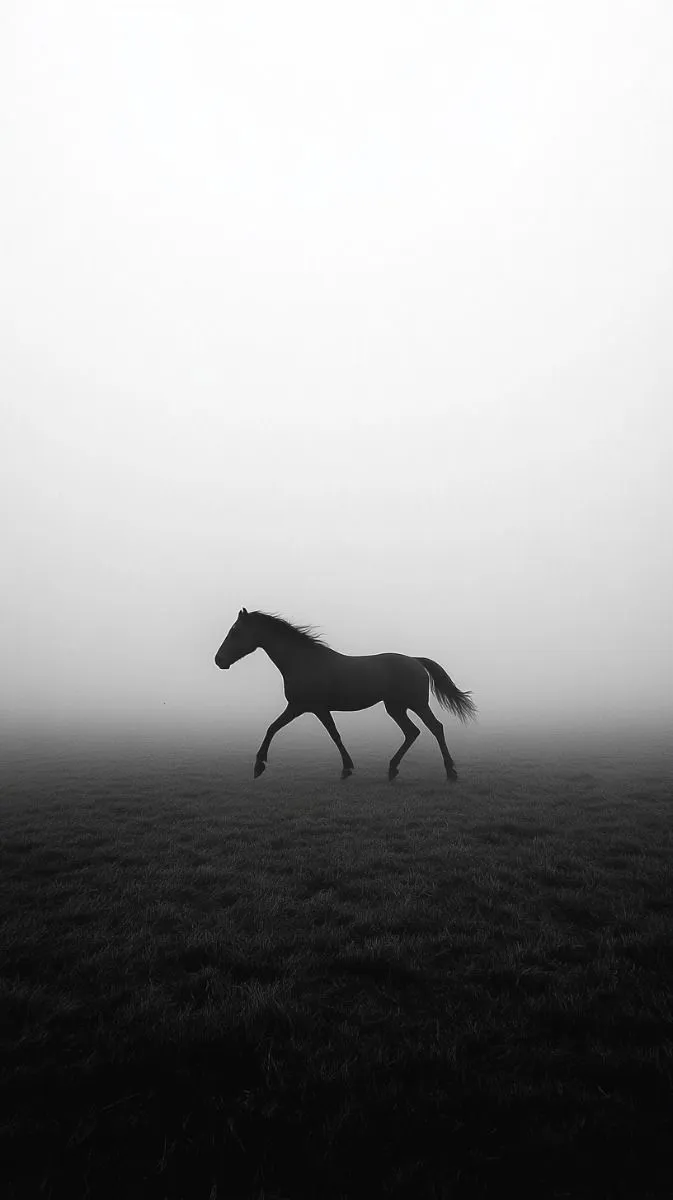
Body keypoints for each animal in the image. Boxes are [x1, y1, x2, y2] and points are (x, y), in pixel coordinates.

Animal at [214, 609, 477, 782]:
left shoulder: (306, 707)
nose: (219, 660)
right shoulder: (307, 708)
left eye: (236, 631)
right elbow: (288, 729)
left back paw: (450, 771)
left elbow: (287, 729)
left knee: (435, 728)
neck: (303, 661)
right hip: (395, 707)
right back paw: (392, 769)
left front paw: (259, 765)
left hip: (416, 704)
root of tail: (415, 660)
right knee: (412, 732)